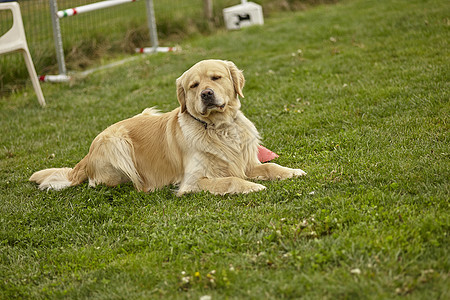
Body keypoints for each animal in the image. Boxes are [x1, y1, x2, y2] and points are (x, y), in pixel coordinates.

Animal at [29, 59, 306, 196]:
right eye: (194, 85)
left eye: (216, 78)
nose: (206, 94)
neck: (217, 127)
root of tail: (86, 157)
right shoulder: (193, 181)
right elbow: (230, 180)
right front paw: (251, 187)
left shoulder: (248, 162)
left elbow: (270, 166)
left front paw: (291, 171)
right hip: (116, 142)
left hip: (146, 111)